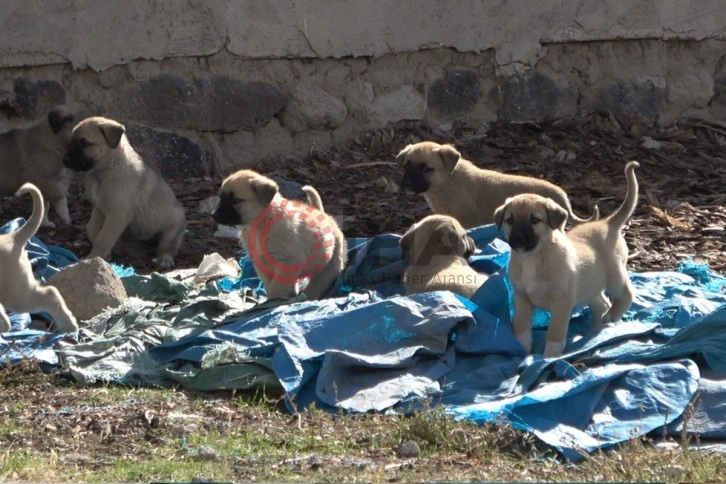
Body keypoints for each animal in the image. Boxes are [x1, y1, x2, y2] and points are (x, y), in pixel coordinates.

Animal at [62, 116, 186, 270]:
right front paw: (104, 255)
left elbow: (103, 238)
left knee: (167, 246)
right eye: (72, 142)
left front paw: (93, 258)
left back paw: (164, 258)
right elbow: (92, 229)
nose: (65, 160)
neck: (103, 172)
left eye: (85, 144)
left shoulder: (117, 214)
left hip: (173, 227)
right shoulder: (99, 209)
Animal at [212, 169, 348, 298]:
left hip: (330, 266)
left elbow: (276, 289)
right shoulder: (262, 264)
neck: (262, 224)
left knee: (317, 286)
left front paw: (272, 302)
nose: (213, 215)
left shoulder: (287, 264)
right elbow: (270, 286)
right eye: (221, 198)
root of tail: (324, 215)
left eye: (236, 200)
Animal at [494, 161, 644, 358]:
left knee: (626, 294)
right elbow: (521, 328)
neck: (533, 258)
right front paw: (522, 349)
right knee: (603, 304)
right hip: (589, 288)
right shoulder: (522, 298)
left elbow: (555, 334)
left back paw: (611, 316)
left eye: (535, 220)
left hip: (615, 276)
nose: (518, 239)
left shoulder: (561, 303)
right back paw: (592, 334)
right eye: (510, 220)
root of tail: (607, 223)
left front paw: (549, 358)